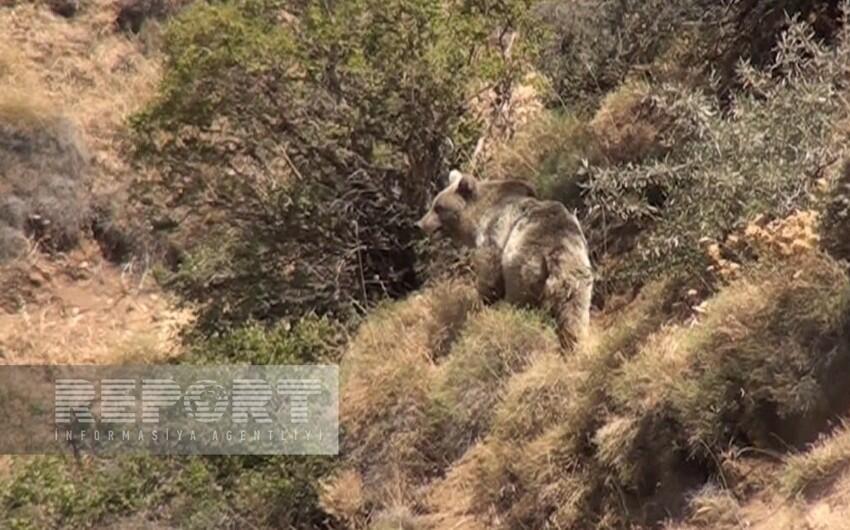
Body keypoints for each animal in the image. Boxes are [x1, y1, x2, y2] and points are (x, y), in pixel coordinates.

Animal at [416, 170, 588, 350]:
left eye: (438, 207)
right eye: (434, 204)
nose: (419, 224)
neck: (478, 217)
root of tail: (555, 253)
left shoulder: (493, 235)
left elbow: (489, 275)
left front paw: (480, 303)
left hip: (523, 265)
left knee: (521, 302)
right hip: (574, 276)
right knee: (573, 316)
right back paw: (572, 346)